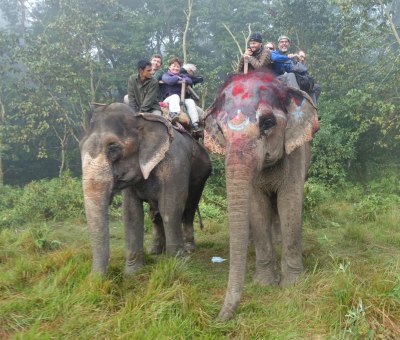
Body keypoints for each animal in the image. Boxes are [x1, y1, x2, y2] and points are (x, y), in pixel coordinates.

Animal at [79, 102, 214, 274]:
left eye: (113, 148)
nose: (94, 278)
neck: (141, 119)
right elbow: (131, 213)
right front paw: (132, 273)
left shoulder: (175, 165)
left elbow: (171, 208)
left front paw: (177, 265)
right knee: (155, 215)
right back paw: (155, 251)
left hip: (201, 175)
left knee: (188, 209)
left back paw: (189, 248)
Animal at [203, 70, 318, 320]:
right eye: (221, 130)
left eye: (267, 122)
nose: (215, 319)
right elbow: (257, 207)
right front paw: (265, 283)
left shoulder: (295, 153)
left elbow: (289, 202)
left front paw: (292, 284)